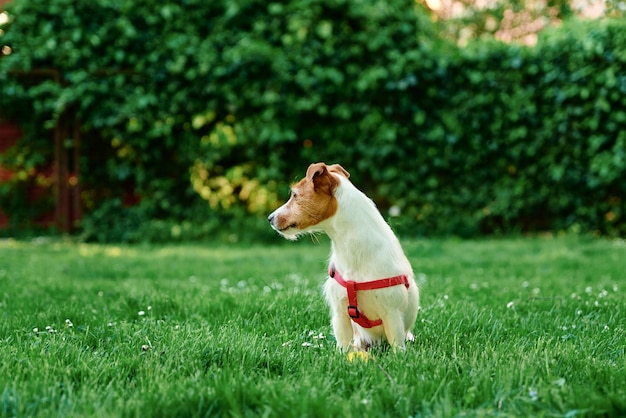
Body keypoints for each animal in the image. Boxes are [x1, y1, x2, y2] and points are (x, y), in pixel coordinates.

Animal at [268, 162, 420, 352]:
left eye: (295, 195)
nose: (270, 218)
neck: (353, 252)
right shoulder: (340, 314)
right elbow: (344, 347)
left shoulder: (392, 315)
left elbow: (398, 348)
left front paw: (399, 357)